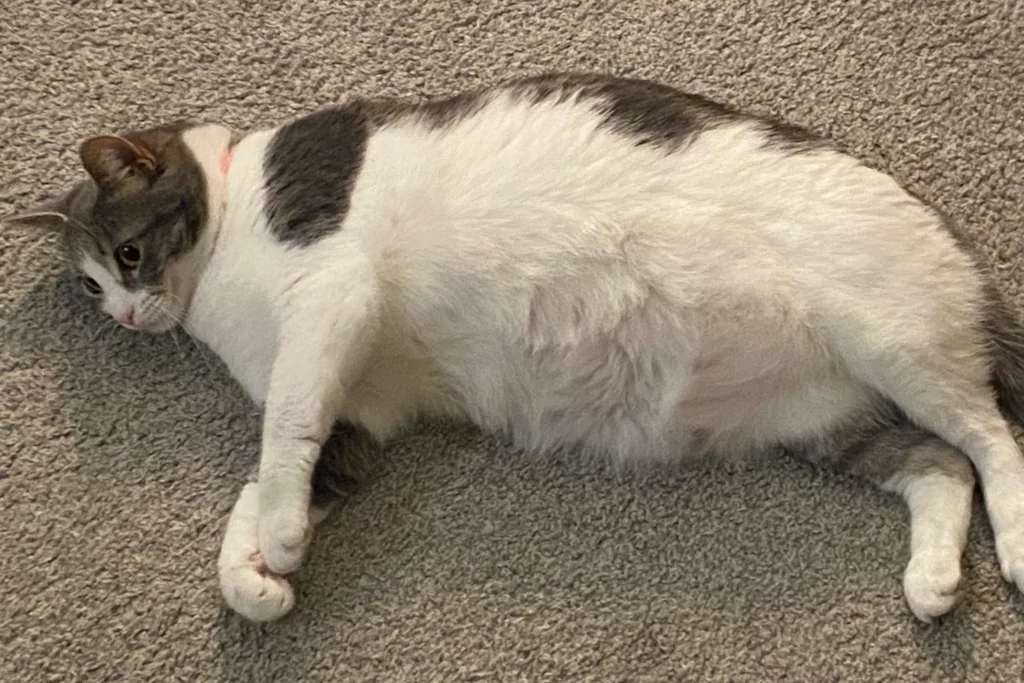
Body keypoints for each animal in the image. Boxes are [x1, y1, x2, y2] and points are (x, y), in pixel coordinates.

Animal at [6, 74, 1024, 626]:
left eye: (127, 255)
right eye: (89, 287)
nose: (126, 316)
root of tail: (962, 247)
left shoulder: (332, 305)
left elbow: (280, 439)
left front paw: (282, 539)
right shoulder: (360, 414)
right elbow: (252, 496)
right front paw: (256, 580)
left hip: (895, 344)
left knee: (991, 438)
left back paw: (1016, 545)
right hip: (830, 421)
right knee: (940, 467)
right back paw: (933, 581)